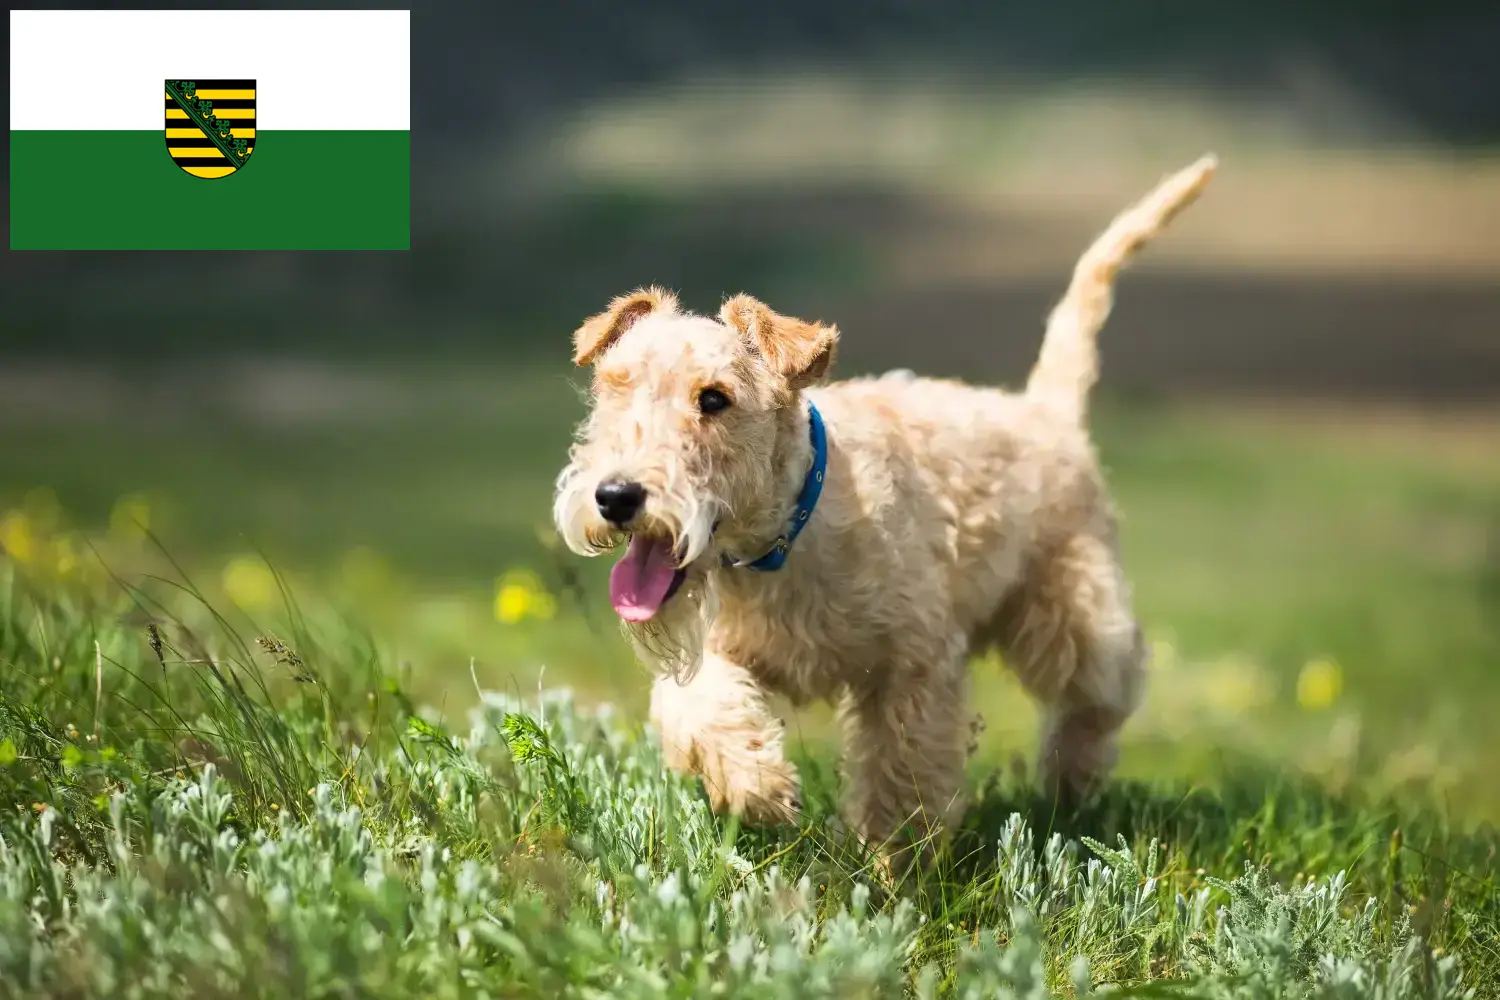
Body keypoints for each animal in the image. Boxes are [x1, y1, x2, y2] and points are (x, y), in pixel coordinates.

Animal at [552, 154, 1218, 863]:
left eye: (714, 398)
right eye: (614, 387)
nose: (616, 497)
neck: (785, 537)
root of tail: (1046, 409)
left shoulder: (910, 665)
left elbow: (901, 772)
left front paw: (894, 863)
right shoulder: (722, 648)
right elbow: (697, 707)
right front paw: (759, 787)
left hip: (1076, 608)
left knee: (1101, 692)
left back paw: (1072, 784)